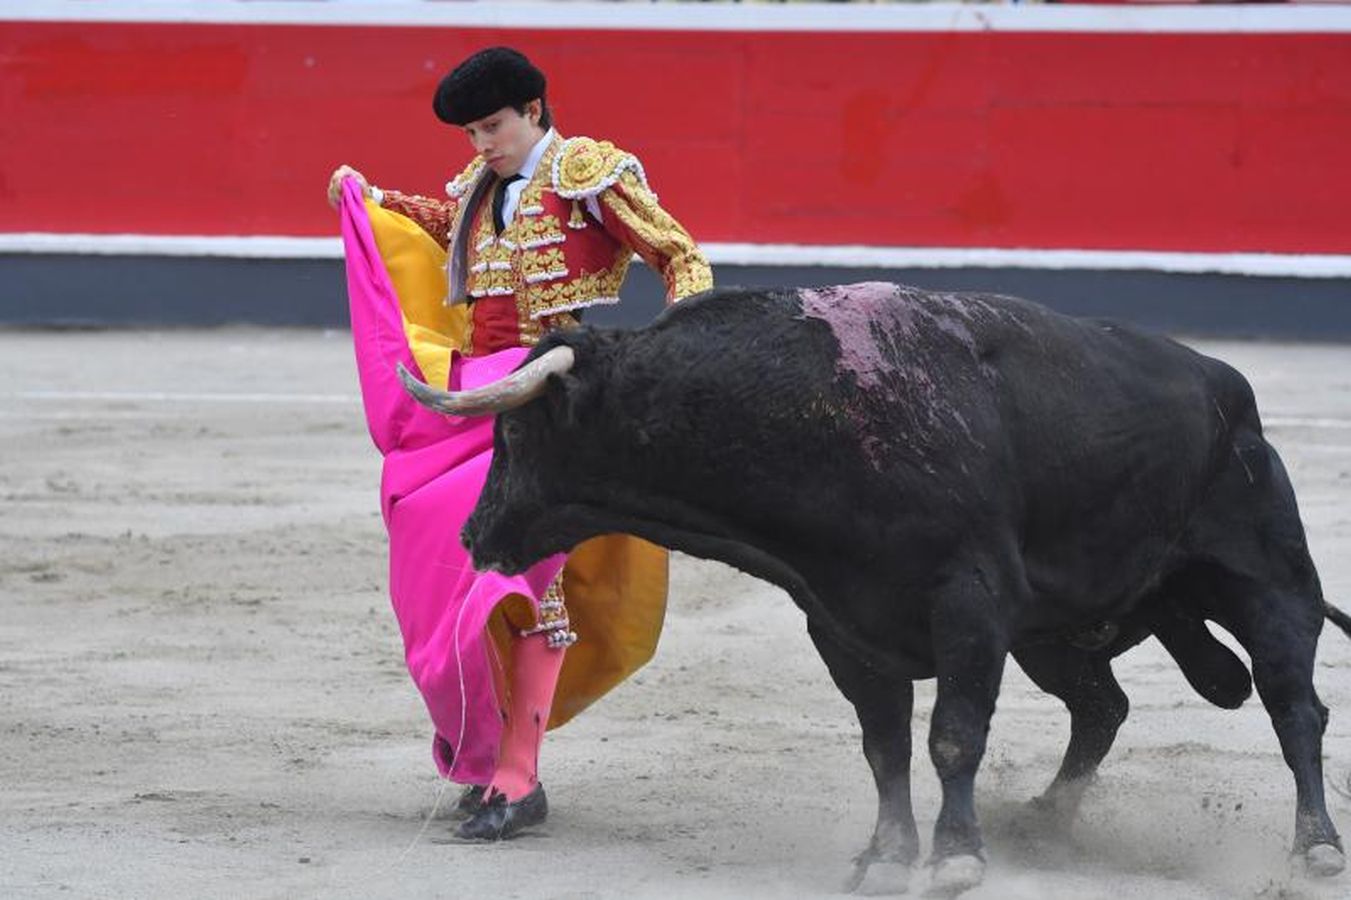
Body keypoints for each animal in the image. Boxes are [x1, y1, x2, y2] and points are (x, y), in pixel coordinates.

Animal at [397, 281, 1340, 891]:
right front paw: (888, 855)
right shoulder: (842, 622)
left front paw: (954, 857)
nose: (473, 537)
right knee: (1102, 707)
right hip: (1057, 636)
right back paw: (1044, 820)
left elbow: (952, 735)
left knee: (1293, 705)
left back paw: (1315, 849)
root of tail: (1229, 391)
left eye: (515, 434)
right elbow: (884, 744)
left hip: (1269, 584)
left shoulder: (969, 603)